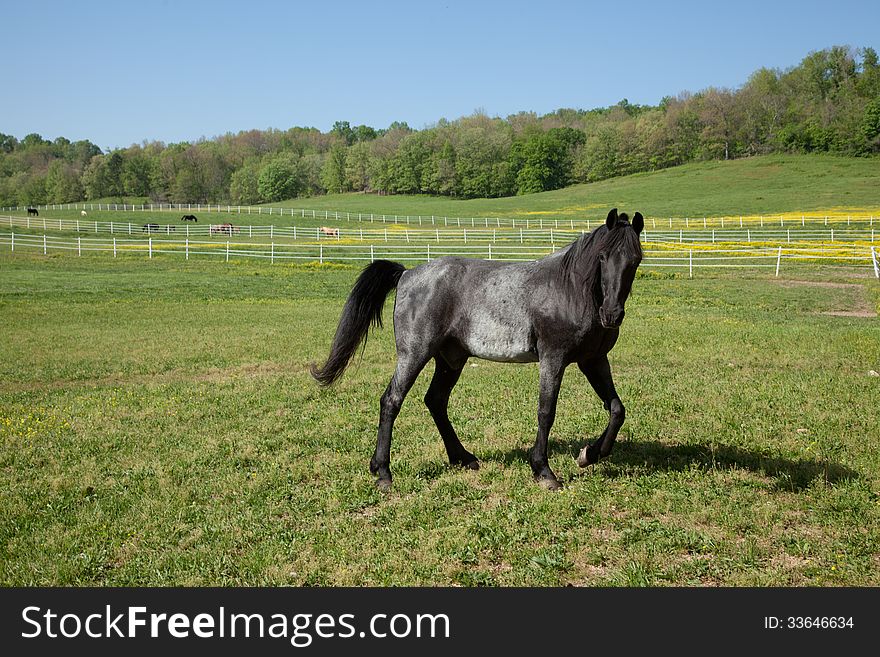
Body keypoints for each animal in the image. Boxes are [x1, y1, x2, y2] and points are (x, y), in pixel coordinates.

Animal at [312, 208, 644, 490]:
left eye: (635, 260)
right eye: (602, 257)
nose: (612, 315)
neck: (569, 290)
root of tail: (407, 274)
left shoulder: (593, 360)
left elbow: (617, 409)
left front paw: (590, 454)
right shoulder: (553, 359)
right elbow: (546, 411)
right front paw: (544, 471)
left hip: (451, 359)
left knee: (436, 401)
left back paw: (463, 458)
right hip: (414, 353)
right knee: (391, 401)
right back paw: (383, 472)